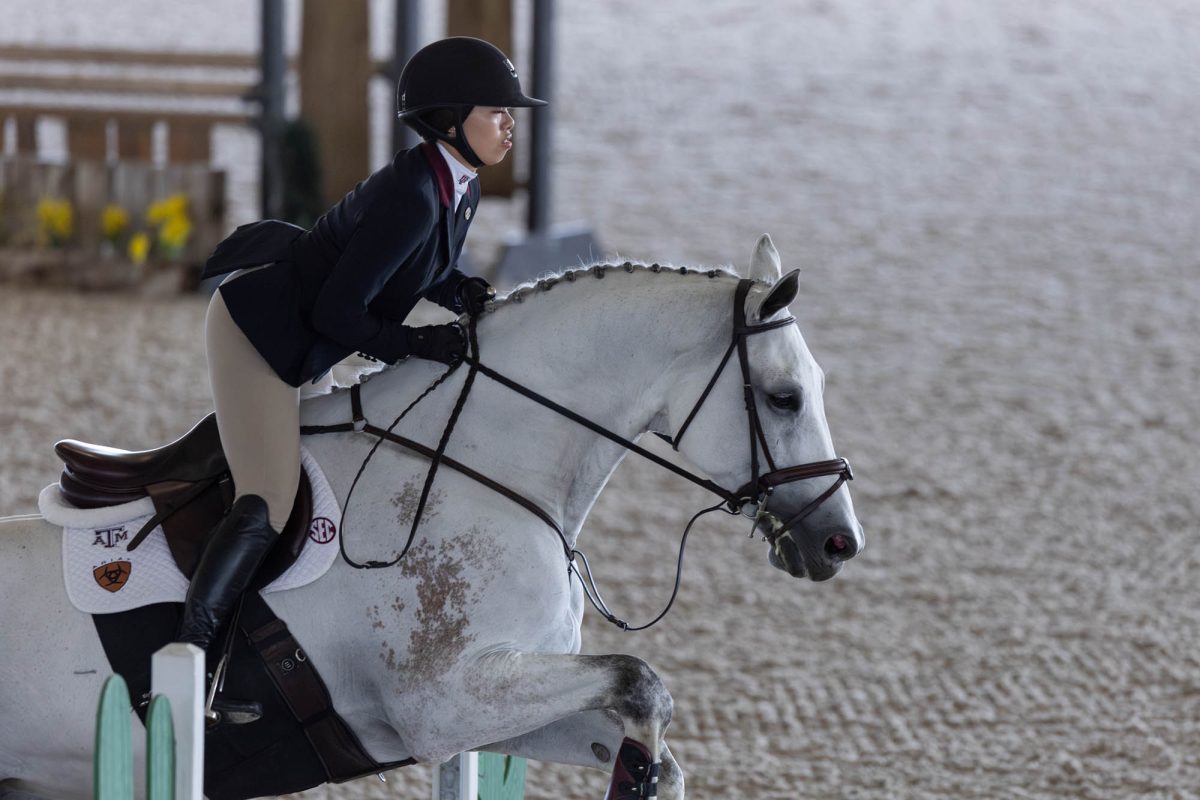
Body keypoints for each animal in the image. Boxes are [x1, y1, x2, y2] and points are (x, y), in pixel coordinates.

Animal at [0, 237, 864, 800]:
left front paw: (641, 771)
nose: (838, 542)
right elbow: (642, 683)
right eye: (784, 397)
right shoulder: (443, 702)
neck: (488, 464)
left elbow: (651, 739)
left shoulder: (490, 704)